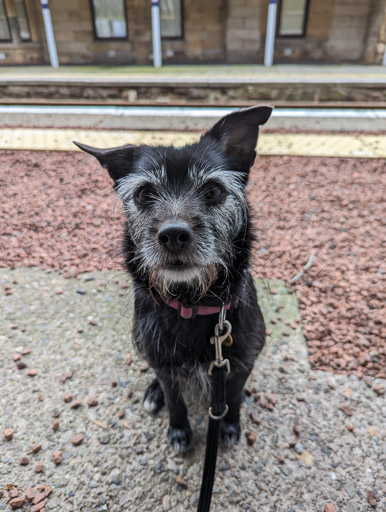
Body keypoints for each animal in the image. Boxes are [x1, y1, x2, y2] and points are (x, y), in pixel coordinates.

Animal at [74, 106, 272, 454]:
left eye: (214, 190)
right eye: (144, 193)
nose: (174, 235)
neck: (194, 303)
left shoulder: (241, 364)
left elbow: (233, 398)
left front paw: (229, 424)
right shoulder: (162, 363)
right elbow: (175, 398)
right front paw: (178, 430)